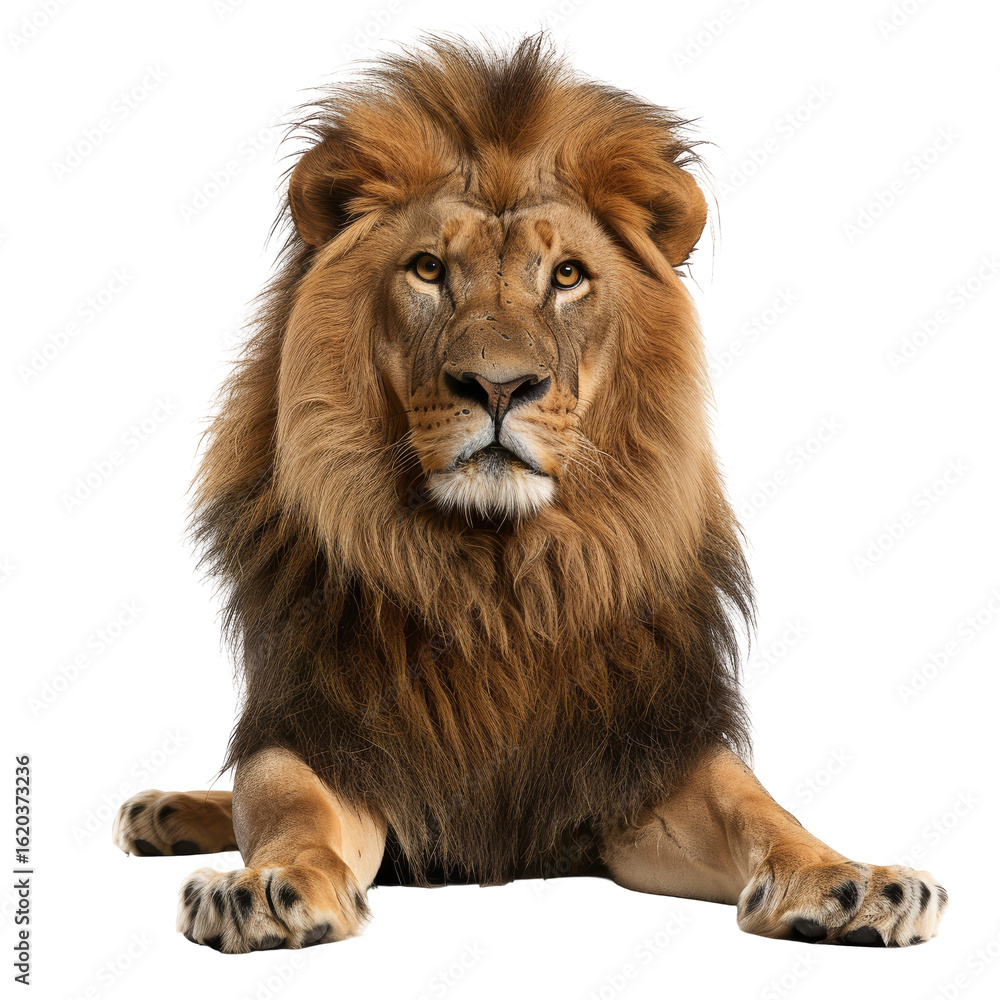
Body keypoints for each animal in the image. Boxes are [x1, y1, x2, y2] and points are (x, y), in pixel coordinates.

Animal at [112, 35, 947, 952]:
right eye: (429, 269)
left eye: (568, 276)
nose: (499, 385)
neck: (499, 580)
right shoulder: (327, 730)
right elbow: (287, 802)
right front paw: (265, 888)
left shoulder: (644, 761)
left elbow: (759, 807)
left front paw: (849, 882)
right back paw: (163, 811)